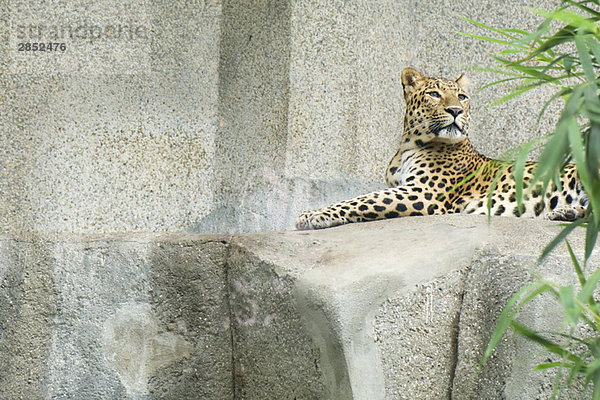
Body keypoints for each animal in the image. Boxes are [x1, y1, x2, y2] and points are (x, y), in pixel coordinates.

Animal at [296, 67, 584, 230]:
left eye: (462, 97)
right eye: (434, 94)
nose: (456, 110)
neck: (407, 145)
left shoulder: (423, 192)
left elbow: (364, 200)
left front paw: (313, 214)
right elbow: (365, 198)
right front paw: (314, 213)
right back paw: (565, 212)